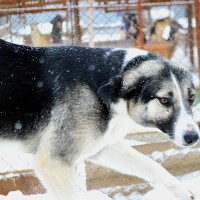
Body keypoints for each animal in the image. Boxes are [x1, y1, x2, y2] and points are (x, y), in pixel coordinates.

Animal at [0, 39, 198, 200]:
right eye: (164, 100)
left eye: (191, 97)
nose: (193, 137)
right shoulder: (53, 162)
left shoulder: (103, 146)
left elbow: (150, 164)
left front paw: (183, 191)